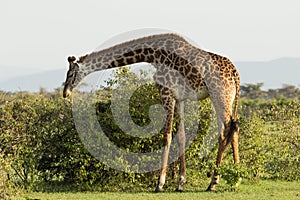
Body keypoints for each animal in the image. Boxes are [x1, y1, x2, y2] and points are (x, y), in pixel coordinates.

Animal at [62, 33, 240, 192]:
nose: (65, 93)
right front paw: (180, 183)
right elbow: (181, 136)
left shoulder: (166, 92)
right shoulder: (179, 98)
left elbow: (167, 135)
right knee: (230, 129)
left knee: (229, 129)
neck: (154, 55)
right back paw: (229, 179)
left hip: (220, 96)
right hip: (225, 98)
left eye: (70, 74)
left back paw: (221, 182)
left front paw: (160, 184)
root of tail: (235, 75)